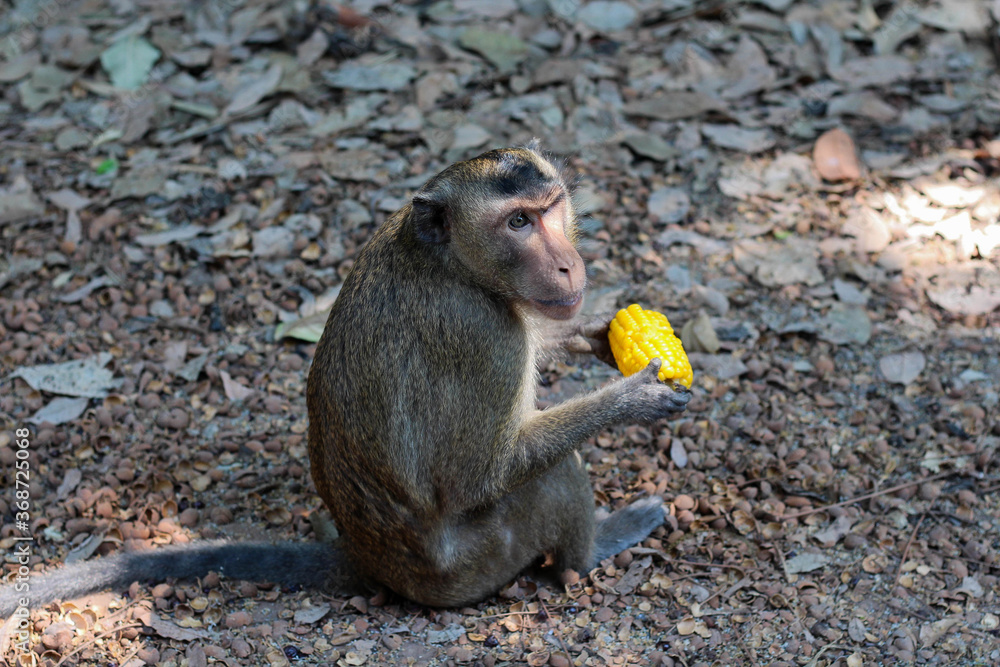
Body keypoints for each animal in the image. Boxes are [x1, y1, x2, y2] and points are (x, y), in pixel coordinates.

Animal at [0, 143, 689, 617]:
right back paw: (595, 551)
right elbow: (476, 477)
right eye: (518, 224)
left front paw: (602, 334)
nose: (569, 265)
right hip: (478, 561)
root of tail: (369, 560)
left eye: (552, 210)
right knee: (551, 474)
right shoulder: (482, 335)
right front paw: (634, 397)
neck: (448, 260)